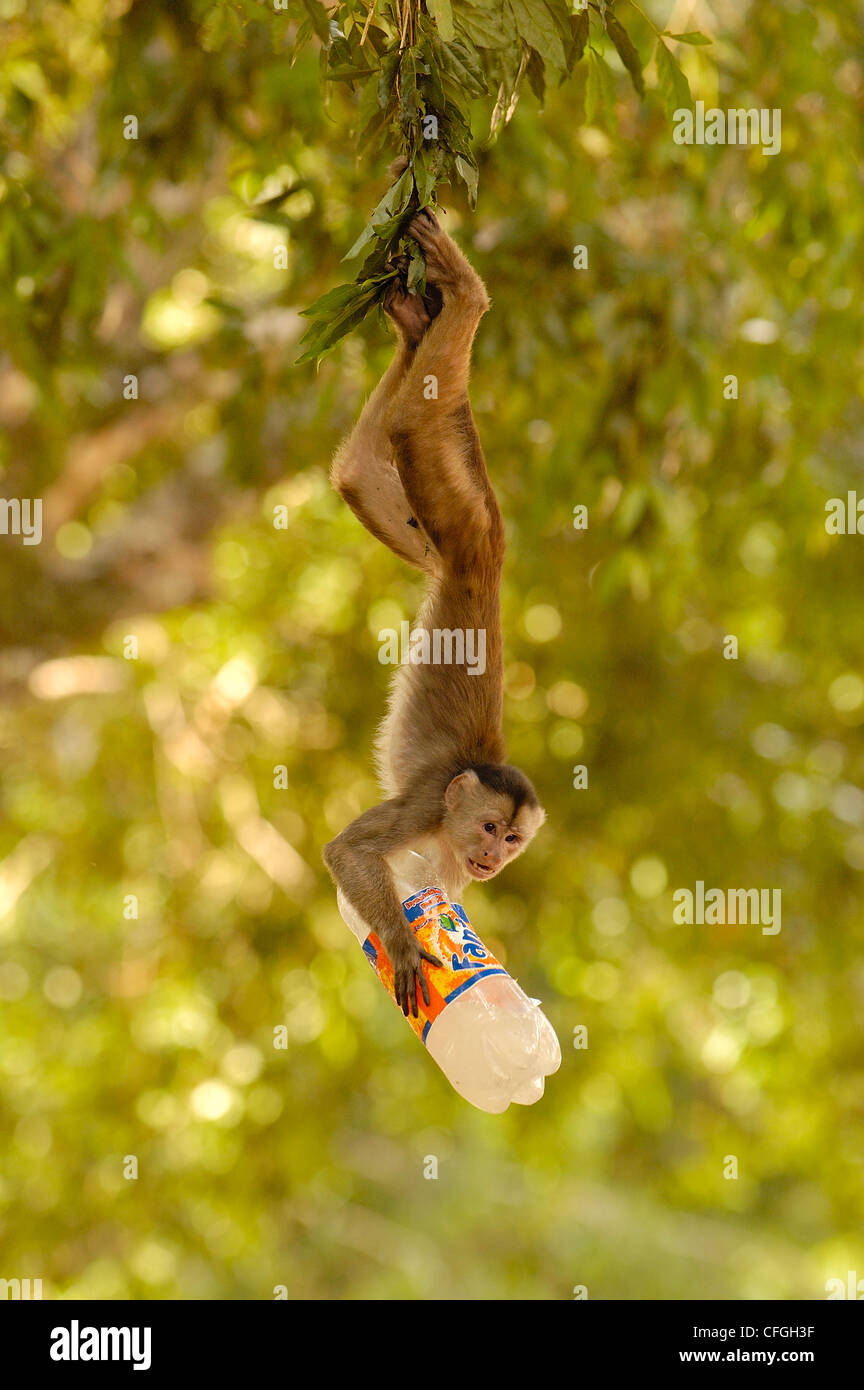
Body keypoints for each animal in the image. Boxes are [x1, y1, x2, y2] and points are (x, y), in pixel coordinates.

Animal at [325, 202, 547, 1011]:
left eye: (510, 841)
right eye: (487, 828)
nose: (493, 858)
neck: (450, 832)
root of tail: (486, 563)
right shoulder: (426, 808)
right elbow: (348, 850)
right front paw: (401, 944)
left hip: (443, 545)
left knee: (364, 466)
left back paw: (414, 322)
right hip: (463, 524)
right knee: (410, 430)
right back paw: (466, 297)